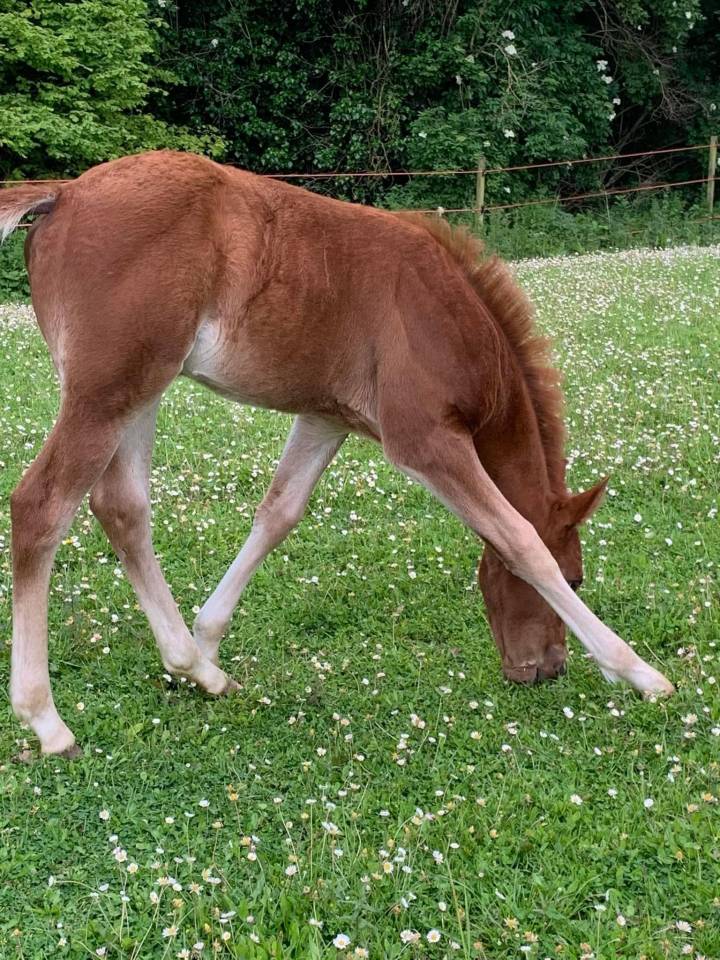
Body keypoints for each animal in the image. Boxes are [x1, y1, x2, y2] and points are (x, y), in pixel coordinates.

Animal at [0, 151, 674, 757]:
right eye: (576, 578)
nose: (545, 669)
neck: (445, 311)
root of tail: (65, 194)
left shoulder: (326, 418)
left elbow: (278, 514)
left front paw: (210, 640)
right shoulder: (426, 440)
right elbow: (519, 539)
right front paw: (638, 673)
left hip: (143, 387)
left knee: (122, 508)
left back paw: (194, 666)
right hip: (108, 392)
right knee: (41, 506)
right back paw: (47, 721)